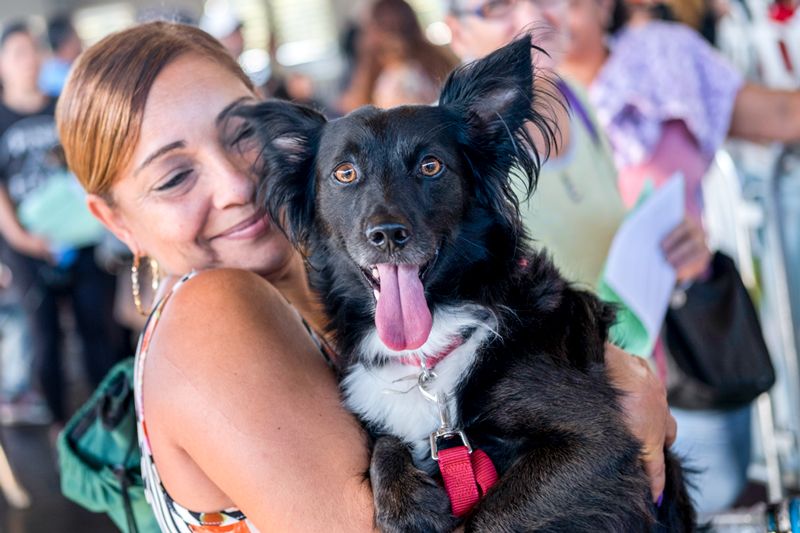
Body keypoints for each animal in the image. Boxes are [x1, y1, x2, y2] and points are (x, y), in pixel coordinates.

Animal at [233, 36, 692, 528]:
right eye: (345, 173)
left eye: (431, 167)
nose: (387, 234)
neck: (427, 357)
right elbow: (385, 443)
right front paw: (404, 503)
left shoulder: (595, 443)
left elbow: (489, 518)